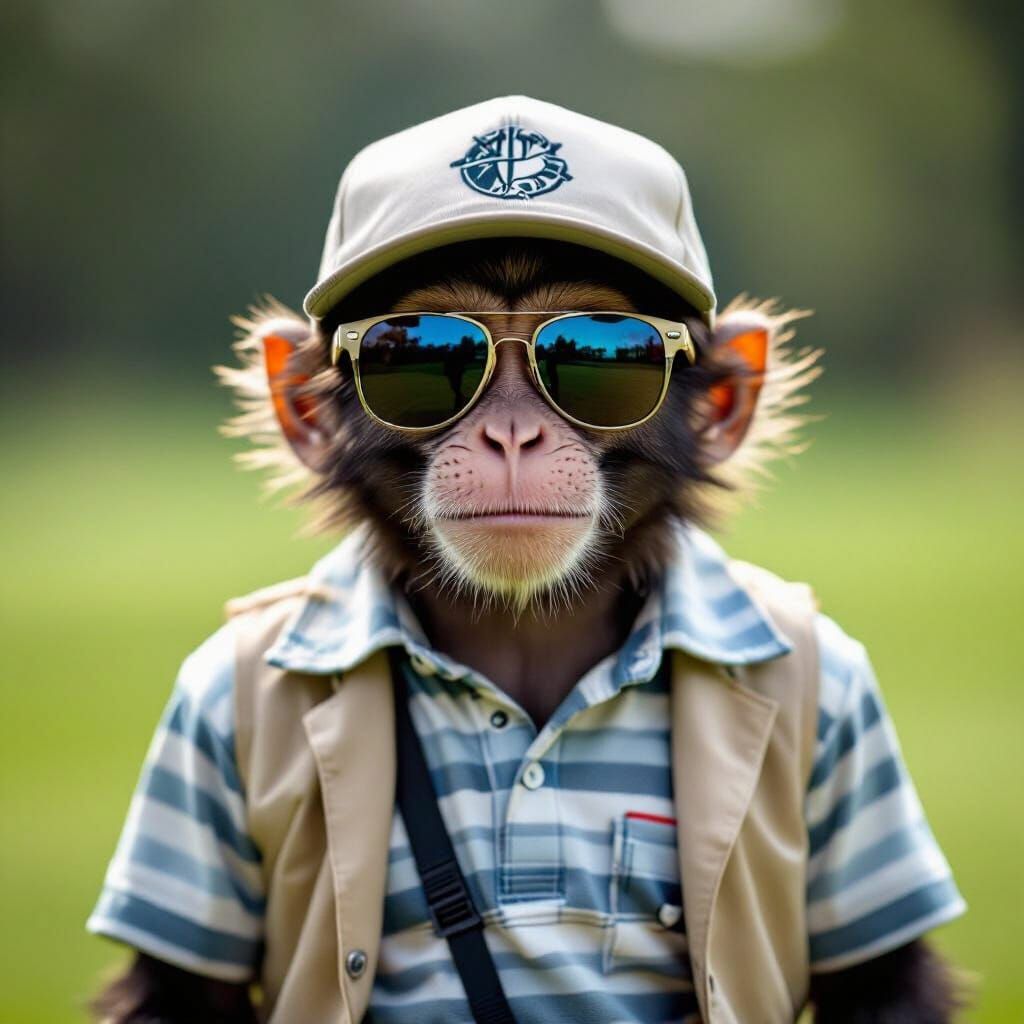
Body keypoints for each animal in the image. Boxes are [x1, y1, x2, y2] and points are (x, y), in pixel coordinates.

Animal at [88, 238, 966, 1023]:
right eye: (419, 344)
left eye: (606, 350)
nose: (512, 433)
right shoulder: (200, 718)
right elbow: (181, 992)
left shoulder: (848, 708)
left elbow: (881, 979)